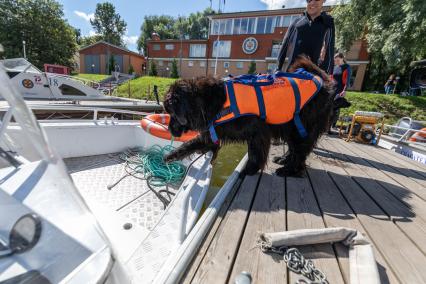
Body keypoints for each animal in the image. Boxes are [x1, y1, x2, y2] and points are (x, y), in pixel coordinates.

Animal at [163, 56, 336, 176]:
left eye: (172, 113)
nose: (169, 129)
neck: (210, 101)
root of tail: (322, 80)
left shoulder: (258, 130)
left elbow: (255, 153)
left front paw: (249, 170)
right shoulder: (213, 133)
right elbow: (191, 144)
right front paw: (170, 156)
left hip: (300, 126)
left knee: (300, 151)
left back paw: (289, 170)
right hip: (290, 127)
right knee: (294, 149)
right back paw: (283, 160)